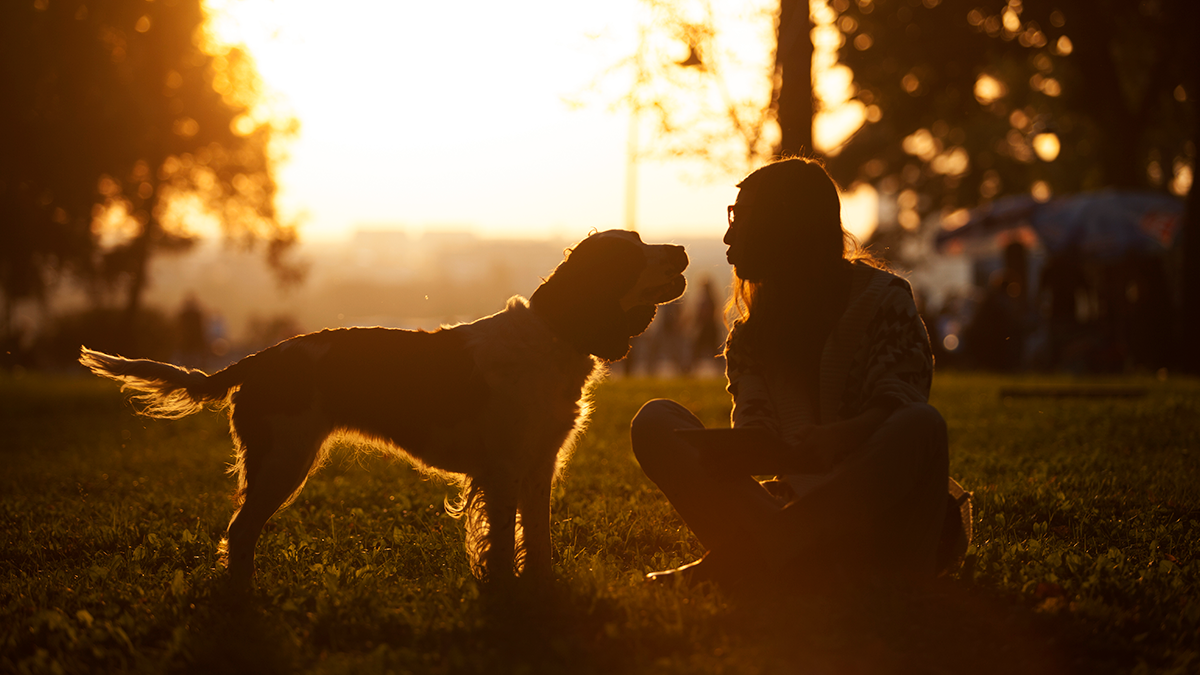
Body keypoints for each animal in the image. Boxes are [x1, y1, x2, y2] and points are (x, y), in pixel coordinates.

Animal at [82, 228, 686, 586]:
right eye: (632, 250)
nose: (681, 250)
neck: (554, 335)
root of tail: (255, 361)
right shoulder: (503, 471)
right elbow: (499, 546)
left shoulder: (538, 466)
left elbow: (536, 542)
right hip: (282, 460)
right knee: (239, 530)